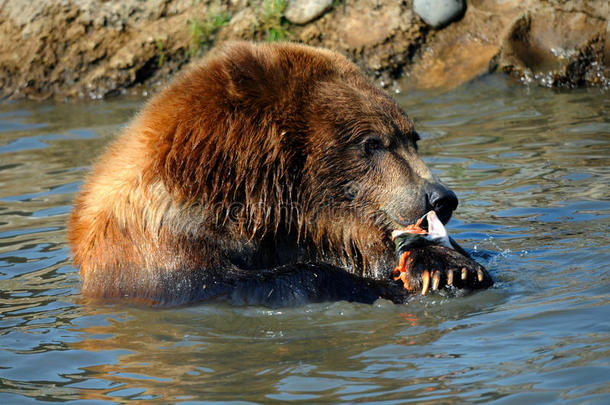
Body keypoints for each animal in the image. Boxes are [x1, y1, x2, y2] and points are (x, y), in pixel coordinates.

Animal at [67, 41, 484, 306]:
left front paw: (445, 265)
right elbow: (272, 281)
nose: (441, 197)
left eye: (412, 137)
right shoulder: (163, 251)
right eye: (373, 143)